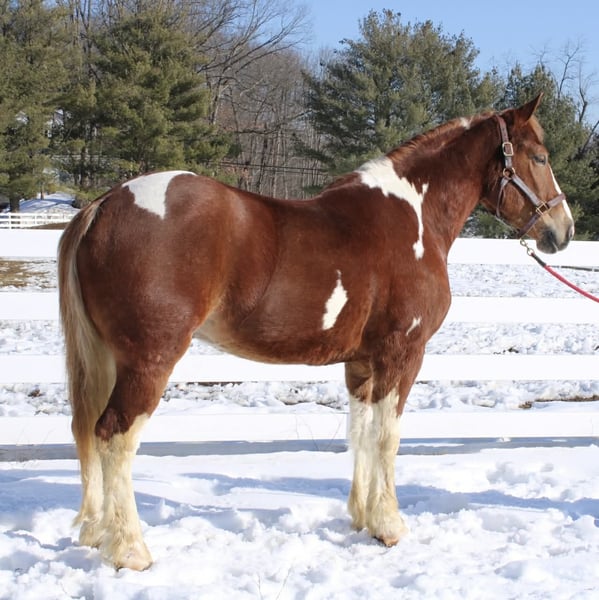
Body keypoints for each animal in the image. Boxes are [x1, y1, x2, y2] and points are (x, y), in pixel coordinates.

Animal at [58, 94, 574, 570]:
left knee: (92, 431)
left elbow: (360, 432)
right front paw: (390, 526)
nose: (563, 230)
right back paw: (130, 551)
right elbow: (387, 436)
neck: (413, 216)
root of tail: (104, 204)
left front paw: (363, 519)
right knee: (115, 435)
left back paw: (96, 535)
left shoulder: (361, 363)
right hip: (150, 360)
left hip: (110, 359)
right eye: (540, 157)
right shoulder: (402, 353)